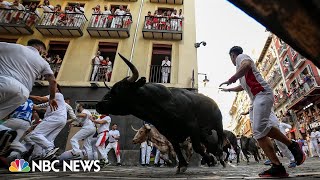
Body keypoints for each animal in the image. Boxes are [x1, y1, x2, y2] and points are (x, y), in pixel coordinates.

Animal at [96, 53, 224, 173]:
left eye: (118, 90)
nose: (98, 105)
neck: (163, 105)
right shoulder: (170, 134)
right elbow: (177, 150)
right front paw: (182, 165)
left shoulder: (192, 128)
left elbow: (197, 148)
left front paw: (209, 160)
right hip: (204, 133)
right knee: (210, 144)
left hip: (218, 123)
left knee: (220, 139)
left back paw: (220, 157)